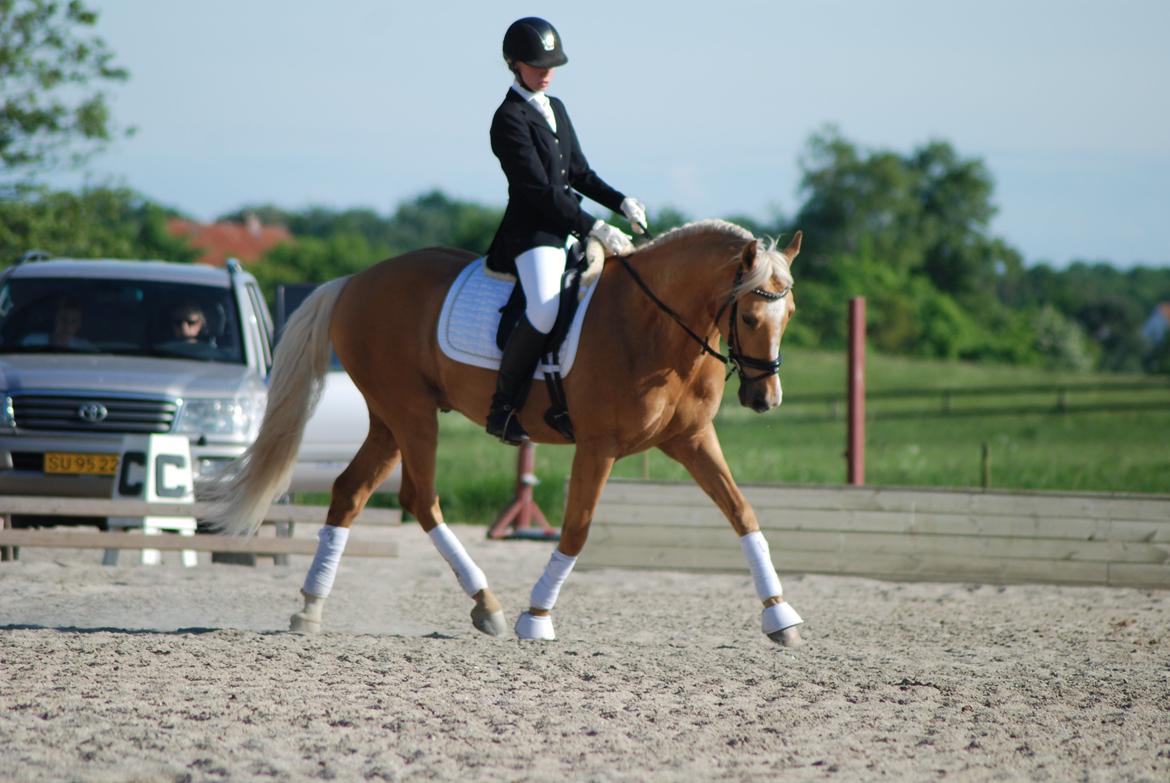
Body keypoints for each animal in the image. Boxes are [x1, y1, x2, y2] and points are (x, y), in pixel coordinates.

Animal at [205, 218, 804, 641]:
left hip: (389, 420)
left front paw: (781, 616)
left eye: (791, 313)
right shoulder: (598, 447)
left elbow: (743, 514)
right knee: (422, 499)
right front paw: (535, 617)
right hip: (411, 414)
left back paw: (310, 607)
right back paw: (486, 604)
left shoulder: (693, 441)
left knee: (350, 491)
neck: (653, 325)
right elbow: (576, 530)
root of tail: (356, 280)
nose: (765, 399)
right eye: (750, 317)